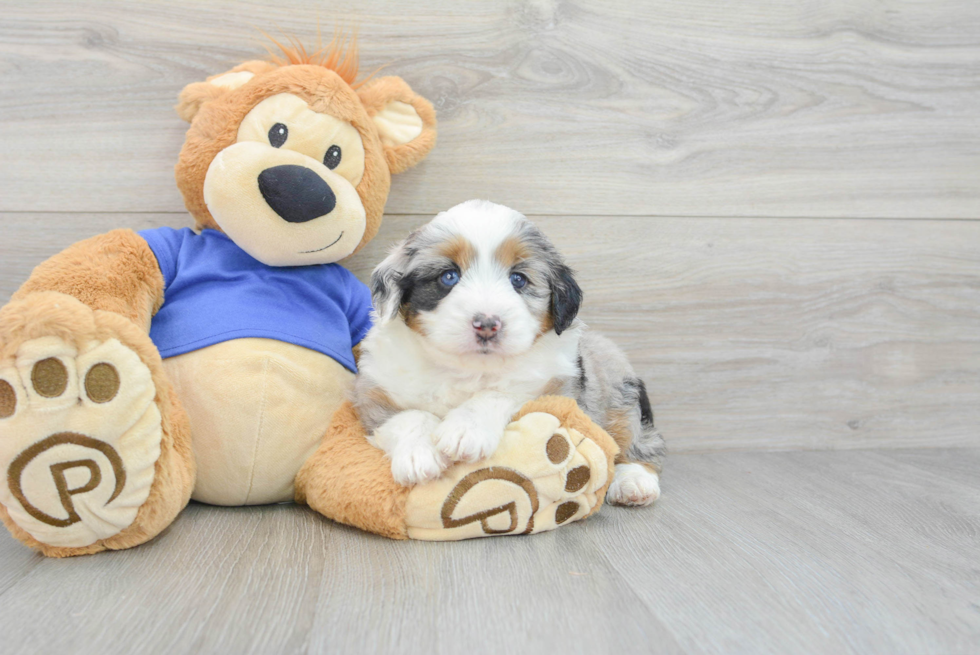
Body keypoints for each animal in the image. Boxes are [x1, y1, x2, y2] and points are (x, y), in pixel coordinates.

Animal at [352, 200, 668, 508]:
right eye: (448, 276)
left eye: (518, 279)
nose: (487, 324)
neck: (468, 368)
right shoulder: (374, 391)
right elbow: (406, 416)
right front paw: (419, 454)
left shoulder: (554, 390)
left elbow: (501, 392)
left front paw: (466, 430)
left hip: (617, 389)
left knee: (638, 440)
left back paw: (634, 482)